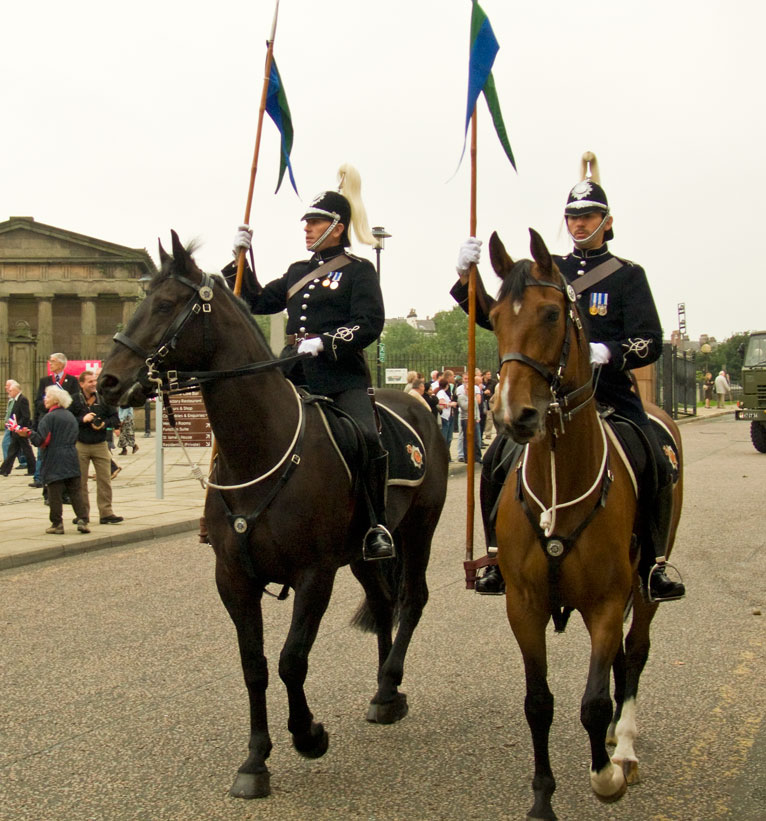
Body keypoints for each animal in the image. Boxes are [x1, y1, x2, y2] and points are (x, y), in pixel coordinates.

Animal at [101, 234, 450, 796]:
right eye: (141, 300)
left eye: (166, 304)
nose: (107, 382)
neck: (260, 449)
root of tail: (418, 404)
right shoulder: (233, 577)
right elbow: (255, 666)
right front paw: (255, 760)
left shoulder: (314, 574)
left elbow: (292, 659)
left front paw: (307, 735)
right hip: (363, 552)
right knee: (383, 603)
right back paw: (382, 695)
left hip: (419, 529)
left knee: (412, 599)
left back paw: (392, 681)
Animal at [486, 229, 684, 820]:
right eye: (494, 316)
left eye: (553, 314)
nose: (513, 415)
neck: (560, 477)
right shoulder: (524, 606)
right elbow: (538, 702)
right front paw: (542, 798)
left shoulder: (605, 601)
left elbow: (593, 702)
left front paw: (606, 775)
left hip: (643, 587)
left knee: (635, 653)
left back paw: (626, 747)